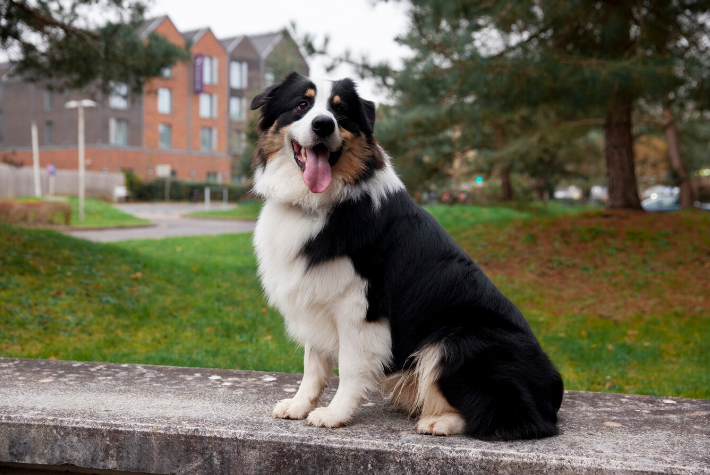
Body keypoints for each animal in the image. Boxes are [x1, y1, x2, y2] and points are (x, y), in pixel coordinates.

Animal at [253, 72, 564, 440]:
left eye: (340, 112)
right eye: (302, 104)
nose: (323, 125)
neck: (317, 204)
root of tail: (553, 390)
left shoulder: (360, 305)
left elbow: (351, 366)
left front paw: (335, 414)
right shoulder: (315, 292)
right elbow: (312, 364)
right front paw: (300, 405)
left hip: (459, 340)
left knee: (513, 418)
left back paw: (438, 421)